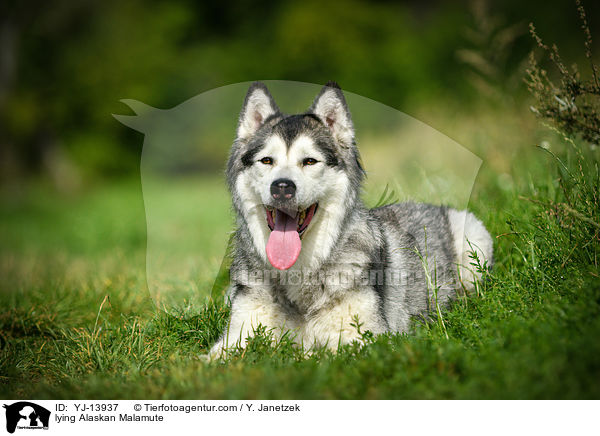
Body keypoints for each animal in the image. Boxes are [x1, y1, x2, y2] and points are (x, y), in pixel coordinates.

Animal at [207, 82, 492, 358]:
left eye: (309, 161)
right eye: (267, 160)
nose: (282, 187)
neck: (300, 271)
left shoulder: (367, 339)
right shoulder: (237, 335)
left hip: (472, 238)